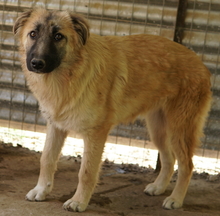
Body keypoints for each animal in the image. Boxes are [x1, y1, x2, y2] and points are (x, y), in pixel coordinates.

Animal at [13, 7, 211, 212]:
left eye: (58, 36)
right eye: (33, 34)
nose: (37, 63)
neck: (69, 75)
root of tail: (200, 63)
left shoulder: (96, 134)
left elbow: (86, 172)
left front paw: (79, 201)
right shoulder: (56, 126)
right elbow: (46, 159)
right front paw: (41, 191)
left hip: (179, 129)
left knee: (187, 165)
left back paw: (176, 199)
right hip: (158, 130)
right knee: (169, 159)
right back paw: (159, 187)